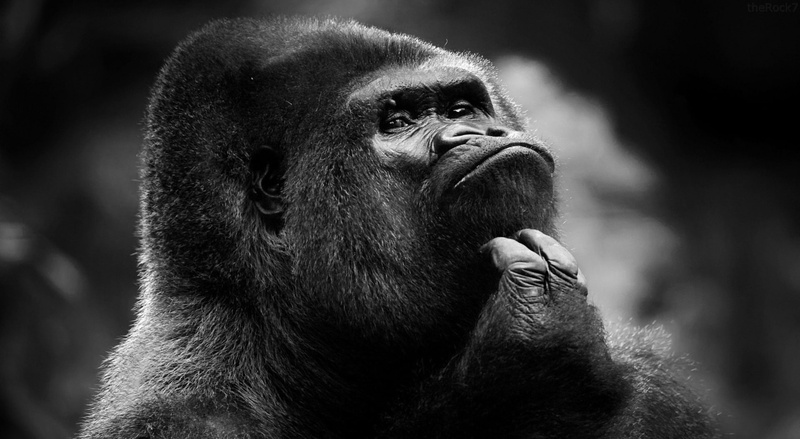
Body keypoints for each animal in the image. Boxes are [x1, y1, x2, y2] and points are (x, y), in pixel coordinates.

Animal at [78, 16, 718, 439]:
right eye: (399, 121)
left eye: (461, 108)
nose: (476, 133)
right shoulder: (180, 417)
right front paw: (532, 368)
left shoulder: (650, 382)